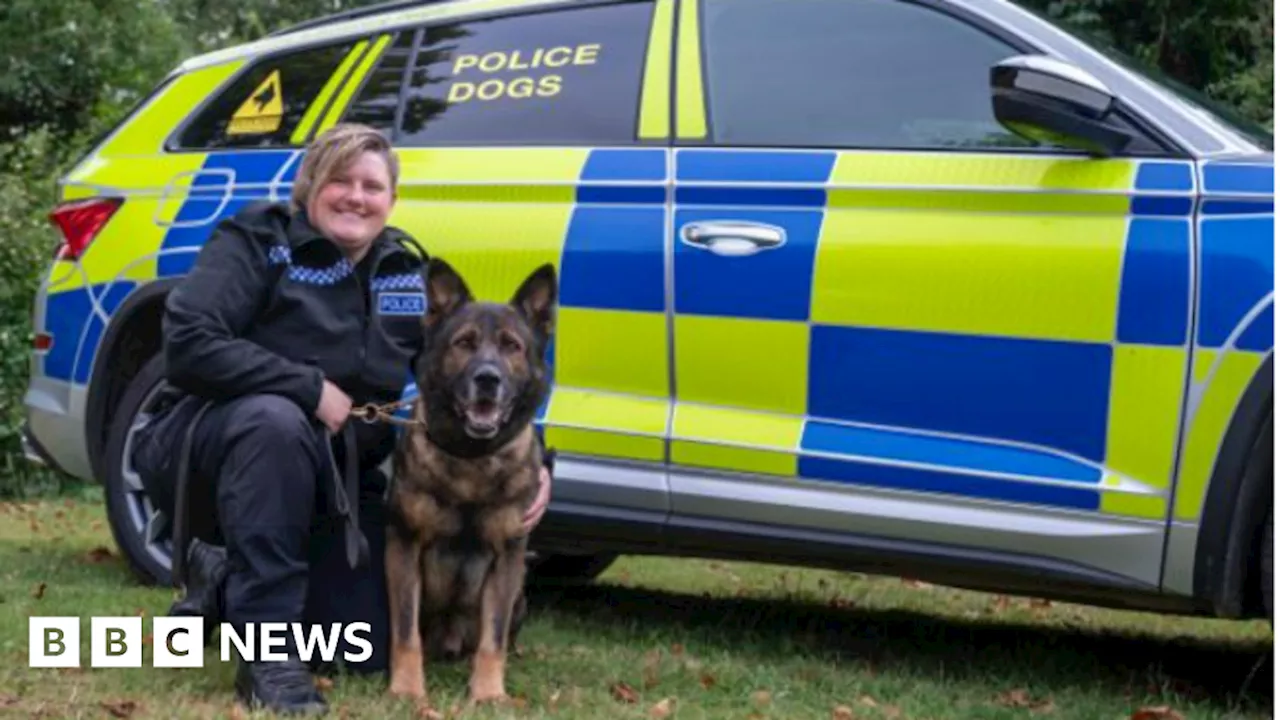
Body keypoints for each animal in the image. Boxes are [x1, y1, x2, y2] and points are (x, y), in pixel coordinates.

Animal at [384, 256, 555, 702]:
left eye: (512, 346)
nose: (487, 379)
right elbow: (405, 632)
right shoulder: (404, 547)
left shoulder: (507, 559)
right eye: (464, 343)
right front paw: (406, 688)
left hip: (520, 595)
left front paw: (489, 693)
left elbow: (492, 640)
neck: (470, 460)